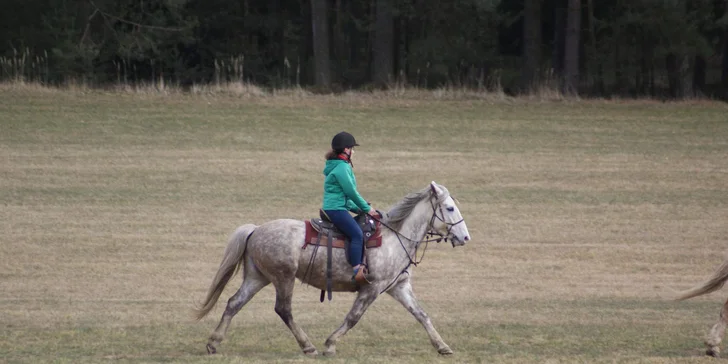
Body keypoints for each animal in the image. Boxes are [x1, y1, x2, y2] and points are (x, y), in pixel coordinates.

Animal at [195, 182, 472, 356]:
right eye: (449, 208)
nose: (465, 237)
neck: (395, 237)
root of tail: (255, 230)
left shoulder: (398, 287)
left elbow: (422, 315)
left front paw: (442, 346)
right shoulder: (372, 289)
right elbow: (353, 317)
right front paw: (330, 344)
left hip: (258, 277)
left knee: (234, 303)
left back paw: (213, 343)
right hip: (283, 278)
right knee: (283, 309)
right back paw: (308, 346)